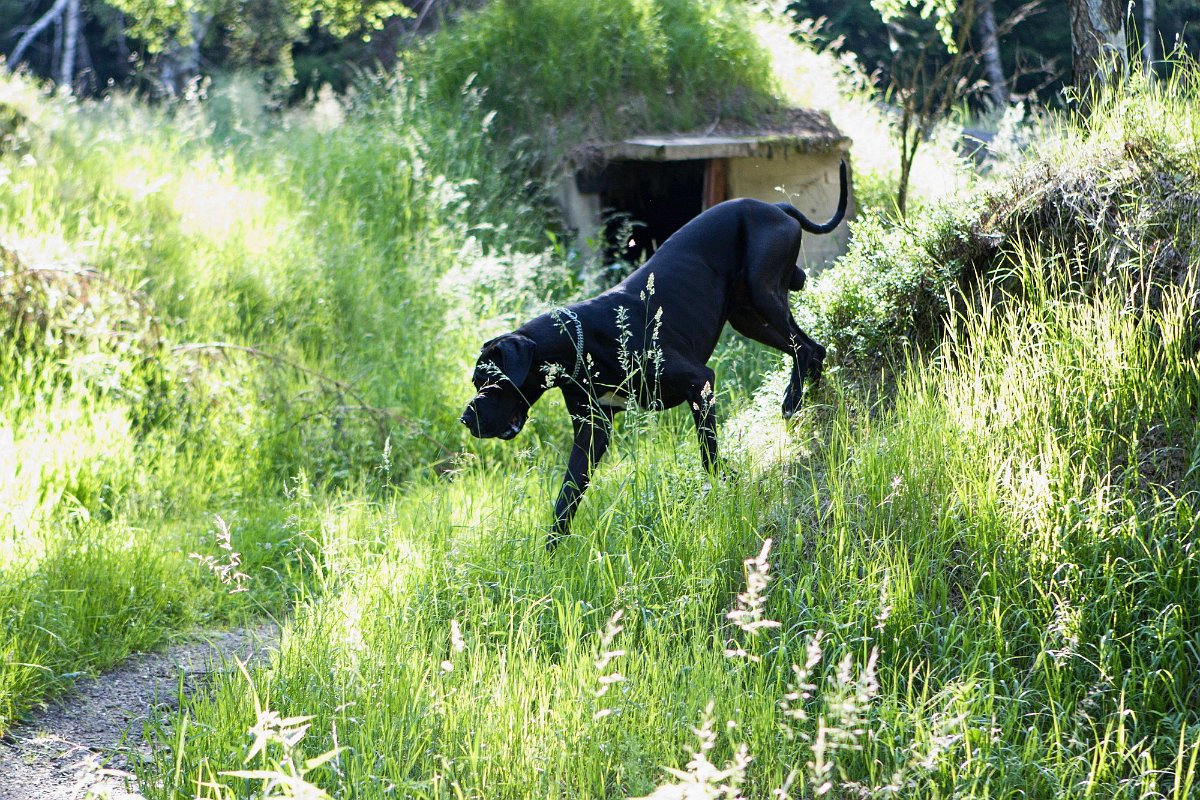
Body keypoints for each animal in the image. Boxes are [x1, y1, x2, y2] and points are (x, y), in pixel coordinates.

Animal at [463, 159, 849, 546]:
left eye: (490, 381)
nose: (466, 418)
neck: (577, 342)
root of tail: (776, 206)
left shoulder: (699, 382)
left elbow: (709, 454)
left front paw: (728, 483)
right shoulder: (592, 430)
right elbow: (568, 494)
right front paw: (552, 548)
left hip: (763, 293)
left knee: (806, 347)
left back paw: (794, 401)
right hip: (748, 317)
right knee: (813, 349)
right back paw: (810, 401)